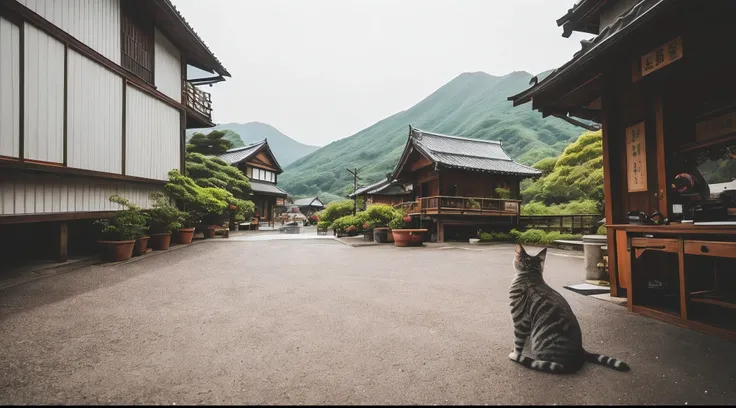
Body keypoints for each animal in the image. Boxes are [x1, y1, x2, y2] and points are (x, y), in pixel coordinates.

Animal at [508, 244, 628, 374]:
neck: (530, 275)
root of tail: (580, 353)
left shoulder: (520, 319)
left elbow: (518, 341)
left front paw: (516, 355)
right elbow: (524, 342)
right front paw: (523, 353)